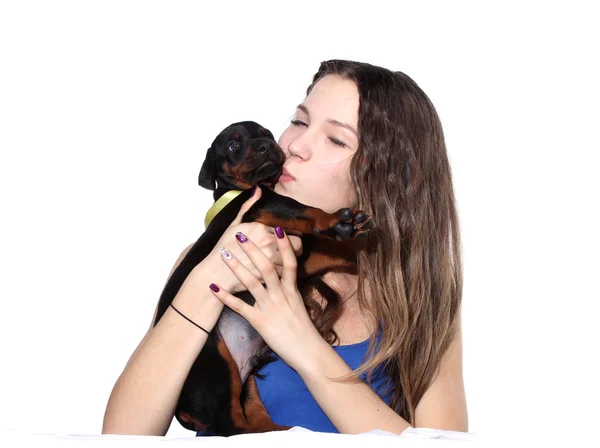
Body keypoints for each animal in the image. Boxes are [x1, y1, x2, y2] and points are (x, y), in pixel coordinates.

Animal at [152, 121, 372, 436]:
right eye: (234, 146)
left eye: (266, 133)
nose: (266, 146)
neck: (251, 188)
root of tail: (182, 410)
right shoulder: (264, 207)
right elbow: (303, 208)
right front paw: (335, 222)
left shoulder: (292, 254)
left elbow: (326, 252)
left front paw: (355, 250)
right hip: (216, 362)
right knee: (229, 426)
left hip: (246, 381)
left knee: (251, 415)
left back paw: (285, 429)